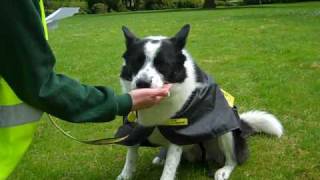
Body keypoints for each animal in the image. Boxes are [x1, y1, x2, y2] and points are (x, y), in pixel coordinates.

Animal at [117, 24, 282, 180]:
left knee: (232, 159)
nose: (142, 83)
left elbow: (169, 168)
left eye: (162, 64)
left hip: (227, 131)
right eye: (135, 63)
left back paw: (224, 170)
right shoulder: (135, 127)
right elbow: (131, 156)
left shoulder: (180, 132)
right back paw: (161, 157)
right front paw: (126, 175)